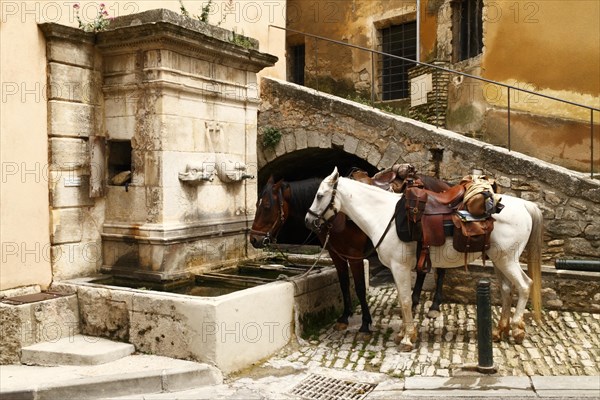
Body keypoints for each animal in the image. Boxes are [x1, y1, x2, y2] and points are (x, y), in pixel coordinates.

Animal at [304, 168, 544, 350]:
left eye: (319, 195)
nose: (308, 220)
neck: (385, 216)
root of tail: (524, 205)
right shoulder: (396, 269)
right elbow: (403, 299)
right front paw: (403, 333)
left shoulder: (399, 267)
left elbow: (405, 300)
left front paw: (407, 338)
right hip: (498, 260)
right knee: (506, 290)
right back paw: (499, 330)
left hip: (507, 260)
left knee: (525, 285)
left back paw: (516, 329)